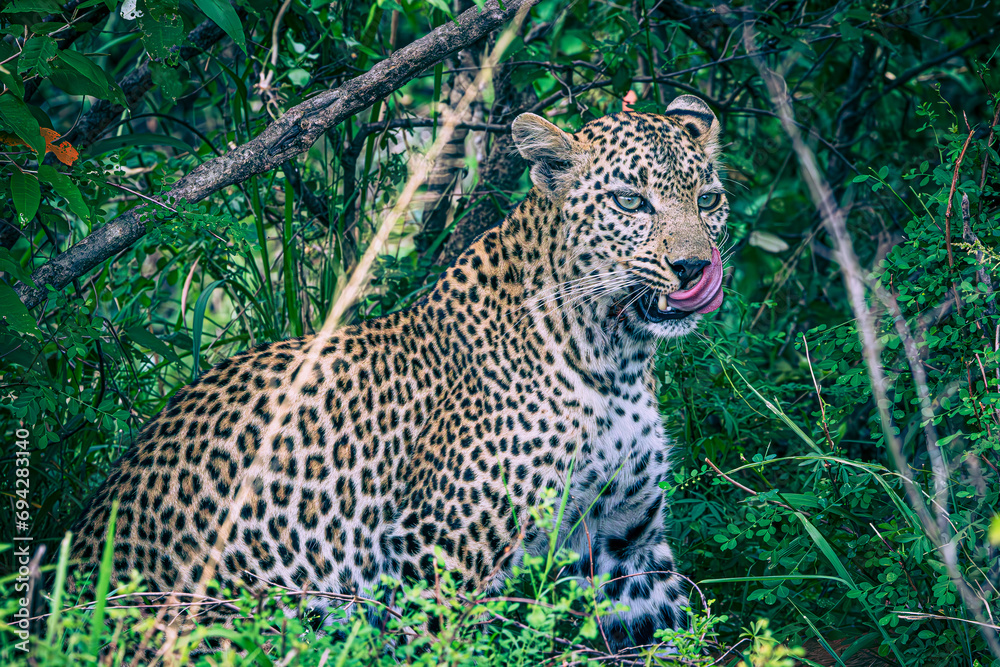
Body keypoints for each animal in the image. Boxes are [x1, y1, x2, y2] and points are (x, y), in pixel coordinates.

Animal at [70, 94, 730, 653]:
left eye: (708, 201)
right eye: (630, 202)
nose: (695, 266)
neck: (616, 357)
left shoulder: (626, 543)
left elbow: (678, 633)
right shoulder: (439, 557)